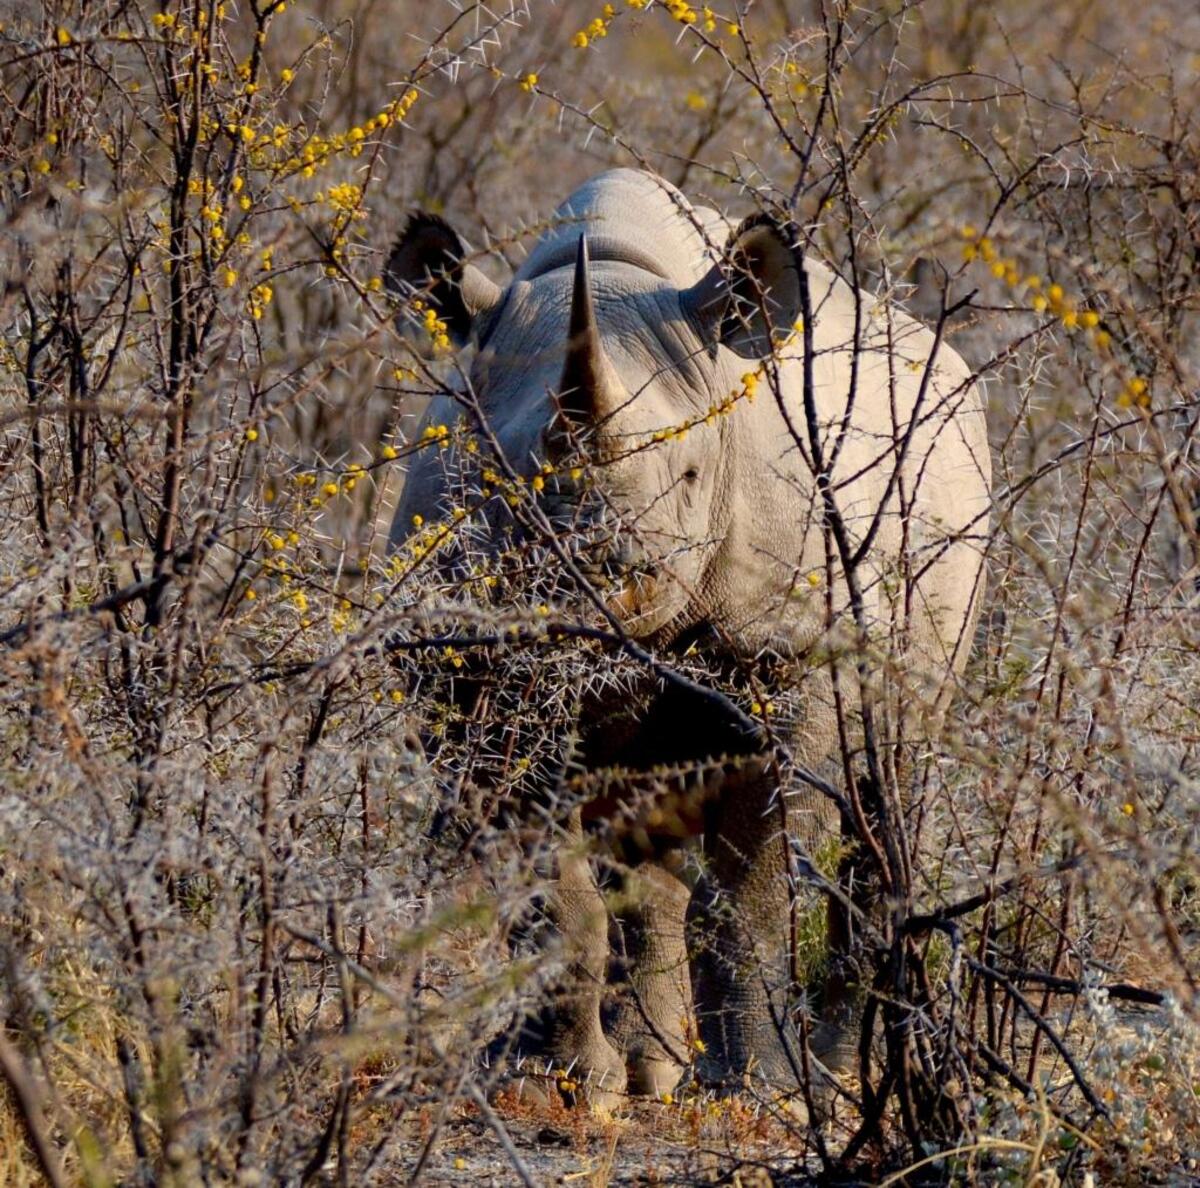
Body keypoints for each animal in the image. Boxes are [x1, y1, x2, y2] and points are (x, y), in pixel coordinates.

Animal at [385, 169, 991, 1109]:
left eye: (692, 478)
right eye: (503, 481)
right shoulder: (475, 675)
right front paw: (553, 1085)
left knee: (888, 786)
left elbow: (756, 889)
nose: (594, 583)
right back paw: (646, 1074)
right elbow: (552, 890)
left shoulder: (783, 651)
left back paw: (835, 1077)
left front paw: (761, 1092)